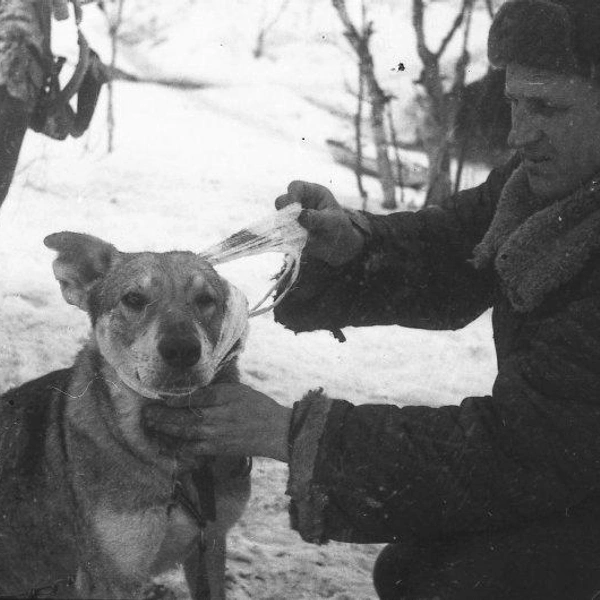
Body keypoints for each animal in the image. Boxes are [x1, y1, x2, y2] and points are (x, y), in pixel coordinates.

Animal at [0, 232, 252, 596]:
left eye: (206, 299)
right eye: (133, 298)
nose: (182, 350)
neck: (172, 463)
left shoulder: (211, 543)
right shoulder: (112, 574)